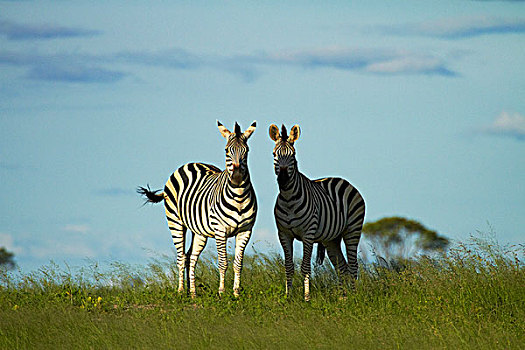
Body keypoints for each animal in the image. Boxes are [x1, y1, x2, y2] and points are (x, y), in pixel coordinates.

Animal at [136, 121, 256, 298]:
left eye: (246, 151)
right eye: (226, 150)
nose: (236, 176)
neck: (239, 196)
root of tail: (190, 163)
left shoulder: (245, 231)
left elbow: (238, 263)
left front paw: (236, 294)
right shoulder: (220, 230)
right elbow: (223, 262)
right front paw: (221, 293)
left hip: (199, 231)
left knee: (190, 257)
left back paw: (192, 292)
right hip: (175, 222)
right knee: (180, 257)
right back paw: (180, 291)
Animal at [268, 123, 362, 300]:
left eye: (293, 155)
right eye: (274, 154)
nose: (283, 179)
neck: (289, 199)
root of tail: (342, 180)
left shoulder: (308, 234)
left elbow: (305, 267)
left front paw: (306, 298)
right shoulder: (284, 234)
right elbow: (288, 266)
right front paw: (288, 297)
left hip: (352, 230)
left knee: (353, 266)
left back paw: (354, 296)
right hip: (331, 239)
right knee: (341, 267)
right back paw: (343, 298)